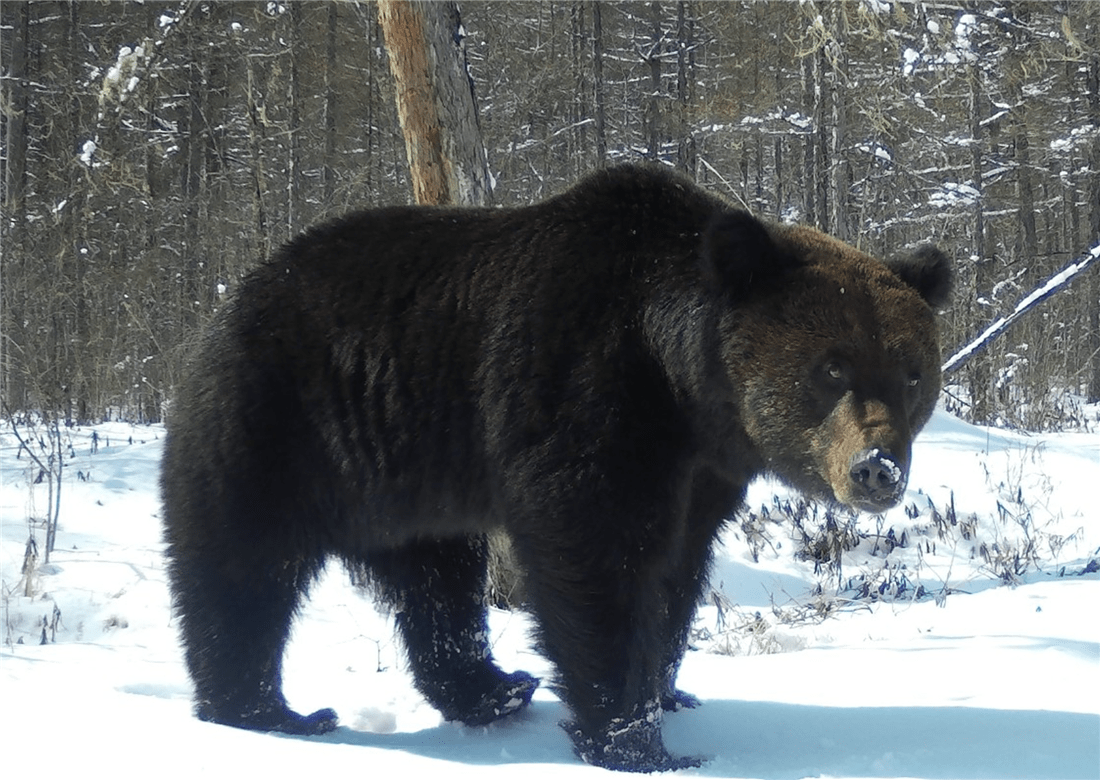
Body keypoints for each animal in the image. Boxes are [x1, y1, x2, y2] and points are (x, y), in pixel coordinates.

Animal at [159, 161, 950, 770]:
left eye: (912, 372)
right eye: (832, 366)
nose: (877, 468)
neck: (682, 387)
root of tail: (233, 295)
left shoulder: (703, 473)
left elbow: (676, 572)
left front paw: (668, 691)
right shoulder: (580, 391)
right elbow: (595, 556)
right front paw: (637, 740)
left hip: (405, 473)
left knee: (437, 584)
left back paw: (495, 687)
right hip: (279, 423)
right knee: (240, 566)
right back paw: (270, 711)